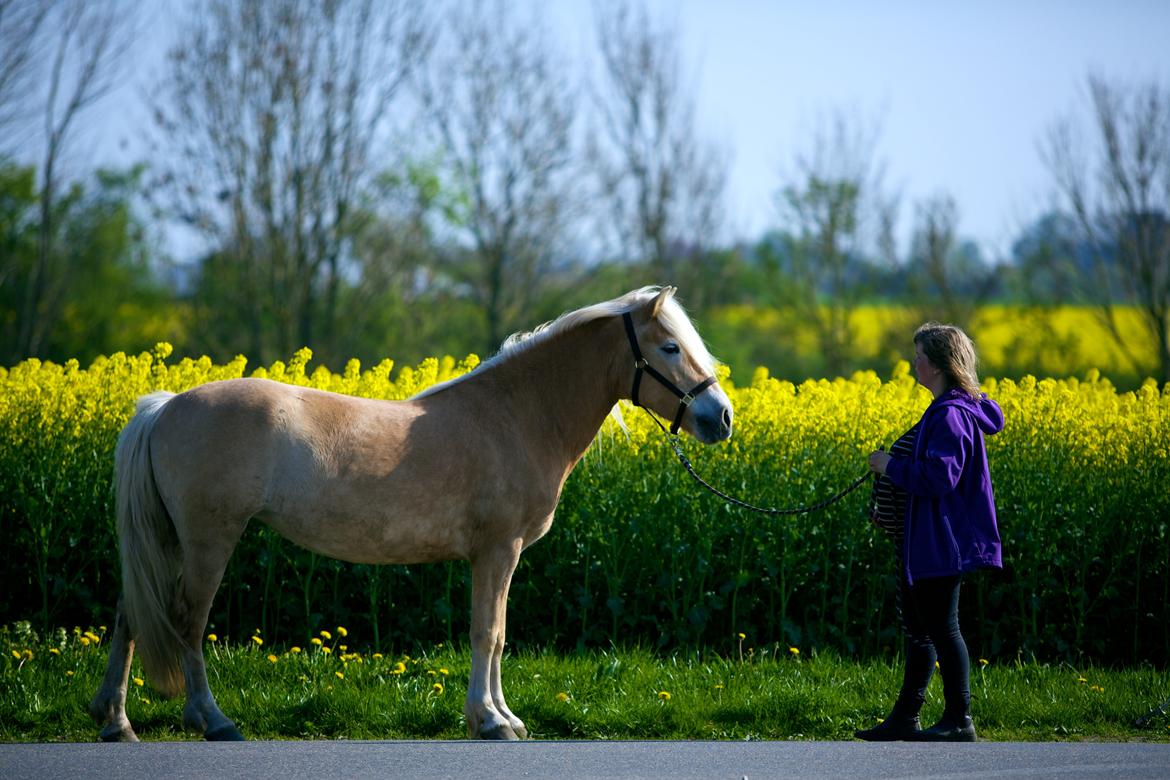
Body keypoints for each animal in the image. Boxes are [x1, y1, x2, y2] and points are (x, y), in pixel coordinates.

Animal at [88, 284, 730, 743]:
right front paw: (489, 722)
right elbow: (486, 632)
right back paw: (213, 720)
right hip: (207, 541)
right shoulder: (496, 551)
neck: (515, 416)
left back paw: (116, 722)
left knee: (130, 613)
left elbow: (497, 635)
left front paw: (504, 717)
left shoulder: (502, 557)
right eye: (670, 347)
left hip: (167, 540)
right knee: (186, 621)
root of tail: (166, 406)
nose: (720, 418)